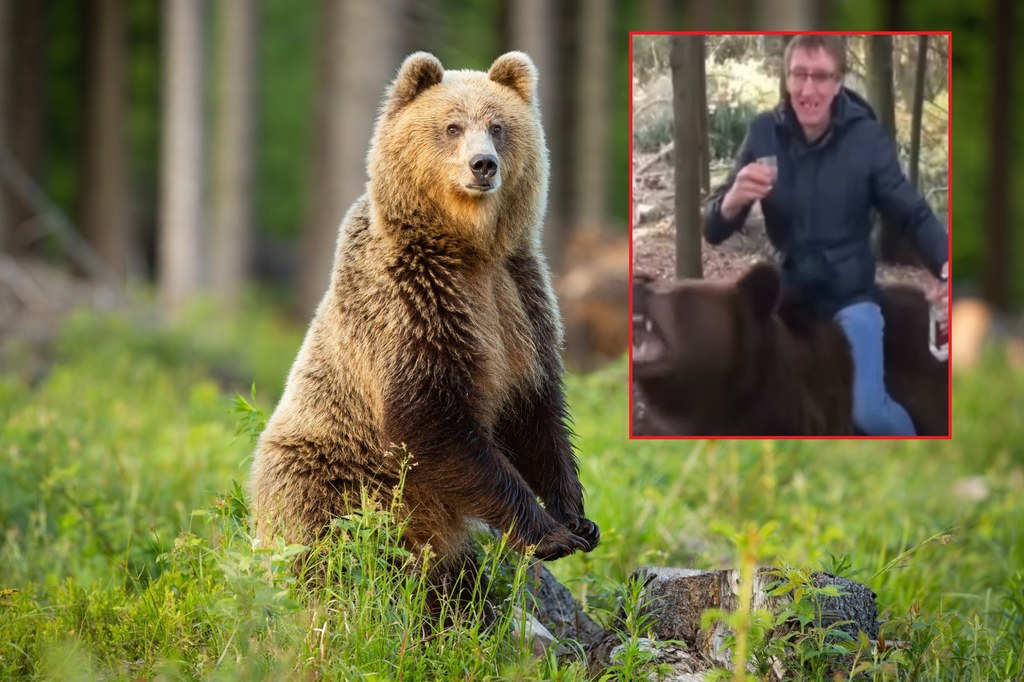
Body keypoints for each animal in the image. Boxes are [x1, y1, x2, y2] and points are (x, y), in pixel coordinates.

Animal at [248, 50, 598, 593]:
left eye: (498, 127)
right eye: (452, 126)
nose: (483, 164)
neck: (467, 249)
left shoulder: (520, 298)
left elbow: (536, 410)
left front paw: (576, 517)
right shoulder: (413, 302)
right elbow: (429, 418)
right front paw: (548, 534)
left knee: (457, 582)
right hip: (331, 478)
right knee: (324, 550)